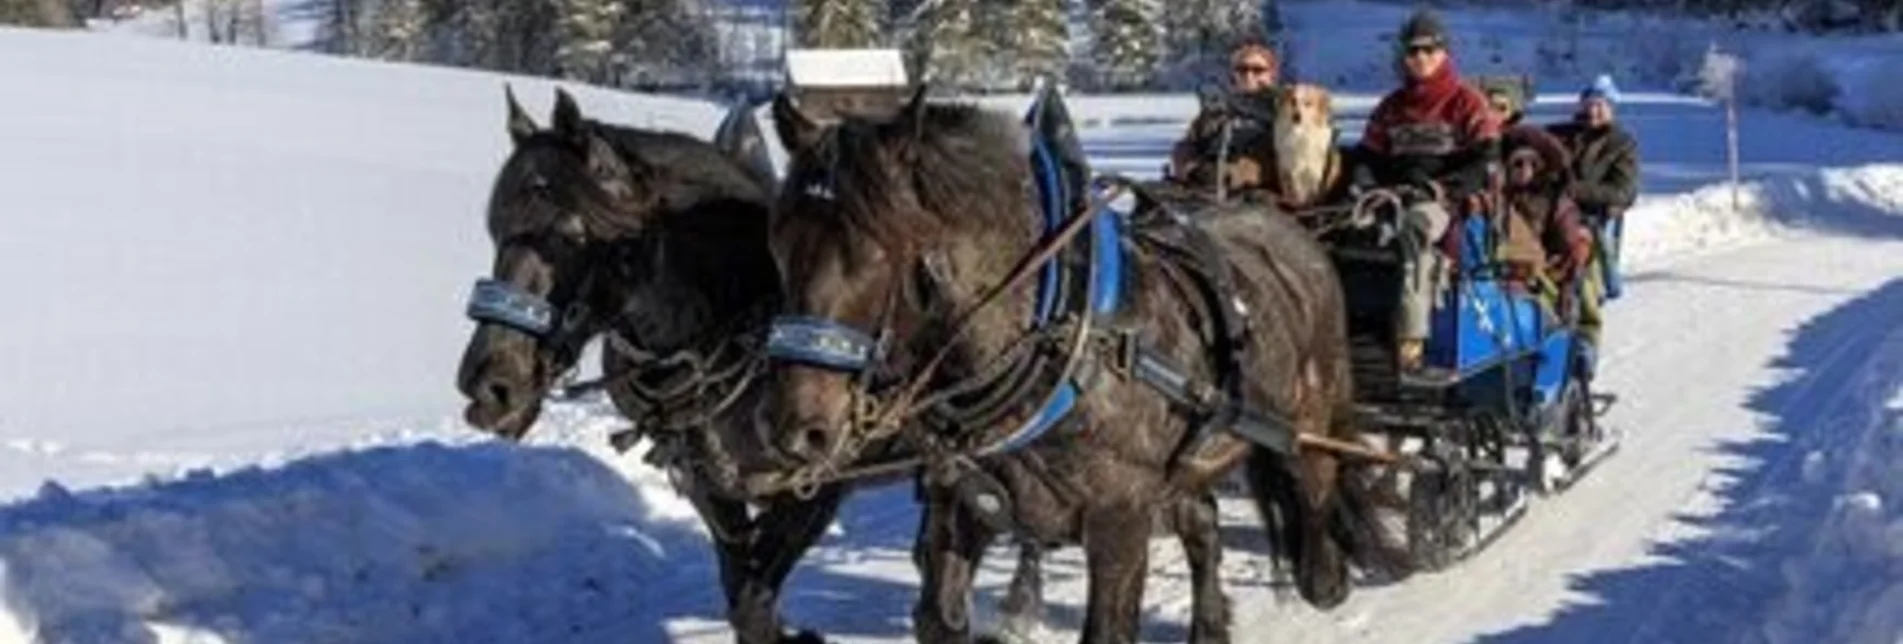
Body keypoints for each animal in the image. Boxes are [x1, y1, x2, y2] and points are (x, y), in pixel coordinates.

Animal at [757, 89, 1415, 644]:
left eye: (878, 250)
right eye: (780, 245)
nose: (796, 429)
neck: (1056, 340)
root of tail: (1297, 235)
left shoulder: (1119, 524)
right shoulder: (963, 510)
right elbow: (938, 617)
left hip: (1311, 424)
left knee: (1316, 514)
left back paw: (1329, 571)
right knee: (1203, 525)